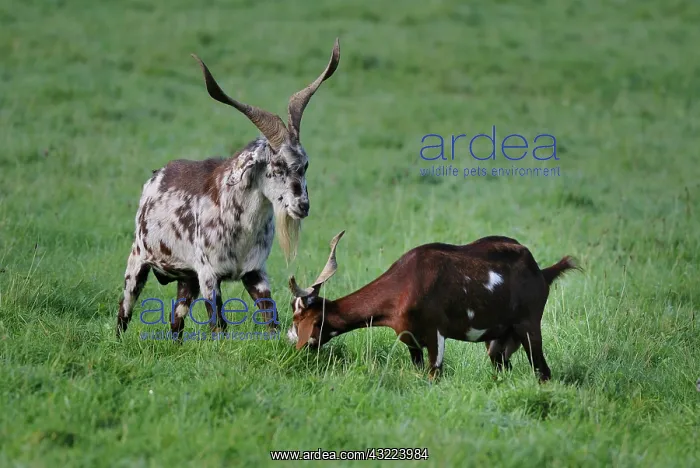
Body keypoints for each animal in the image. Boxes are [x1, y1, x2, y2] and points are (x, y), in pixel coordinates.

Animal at [116, 39, 341, 339]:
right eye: (276, 165)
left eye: (305, 164)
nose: (302, 205)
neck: (239, 226)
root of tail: (155, 176)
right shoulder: (209, 275)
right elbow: (218, 327)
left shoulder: (255, 272)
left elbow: (271, 320)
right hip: (137, 261)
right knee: (124, 312)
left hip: (186, 279)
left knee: (176, 323)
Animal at [287, 231, 579, 381]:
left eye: (298, 320)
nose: (289, 339)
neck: (404, 283)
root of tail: (541, 271)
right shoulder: (411, 340)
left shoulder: (435, 334)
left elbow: (433, 374)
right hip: (499, 340)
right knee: (501, 367)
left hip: (528, 326)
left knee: (543, 371)